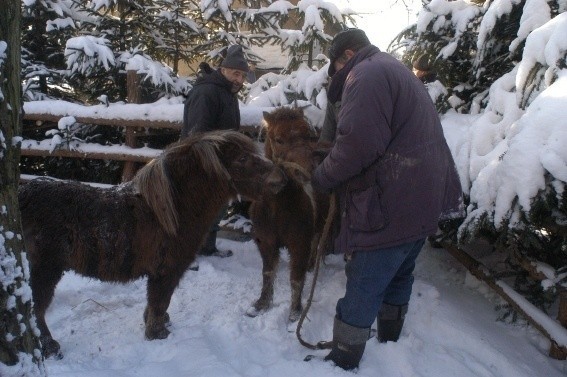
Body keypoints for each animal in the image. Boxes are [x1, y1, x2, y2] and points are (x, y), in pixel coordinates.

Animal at [19, 131, 286, 356]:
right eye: (242, 158)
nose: (281, 180)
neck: (172, 210)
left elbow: (155, 303)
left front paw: (154, 322)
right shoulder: (166, 271)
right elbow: (160, 300)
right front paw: (157, 333)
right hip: (46, 268)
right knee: (36, 309)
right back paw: (50, 346)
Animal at [247, 107, 330, 322]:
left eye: (308, 135)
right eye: (278, 139)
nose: (307, 171)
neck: (278, 207)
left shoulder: (298, 244)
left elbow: (296, 278)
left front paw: (295, 312)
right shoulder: (266, 242)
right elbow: (268, 273)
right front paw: (261, 305)